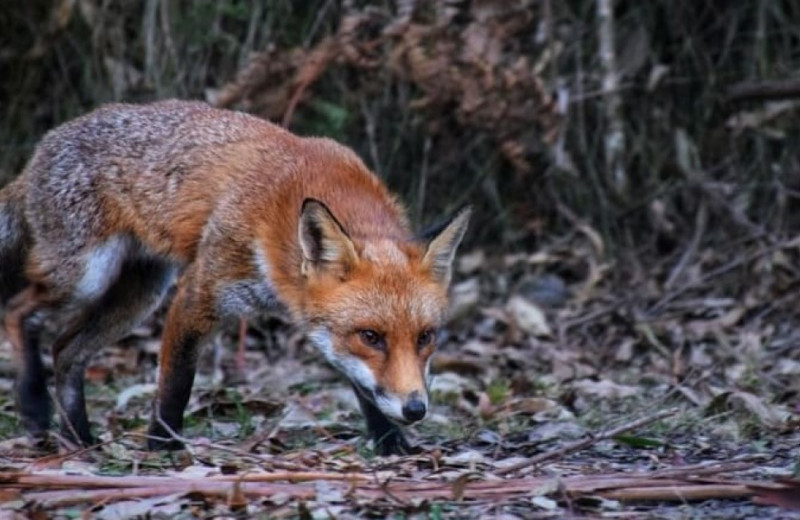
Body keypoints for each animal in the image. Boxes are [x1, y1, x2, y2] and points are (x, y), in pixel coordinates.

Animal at [0, 98, 468, 456]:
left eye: (426, 337)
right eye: (371, 336)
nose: (415, 410)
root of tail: (37, 155)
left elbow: (362, 385)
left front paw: (390, 442)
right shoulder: (199, 293)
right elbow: (175, 384)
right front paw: (162, 448)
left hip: (137, 298)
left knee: (65, 351)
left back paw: (79, 437)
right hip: (85, 278)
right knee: (19, 311)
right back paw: (35, 403)